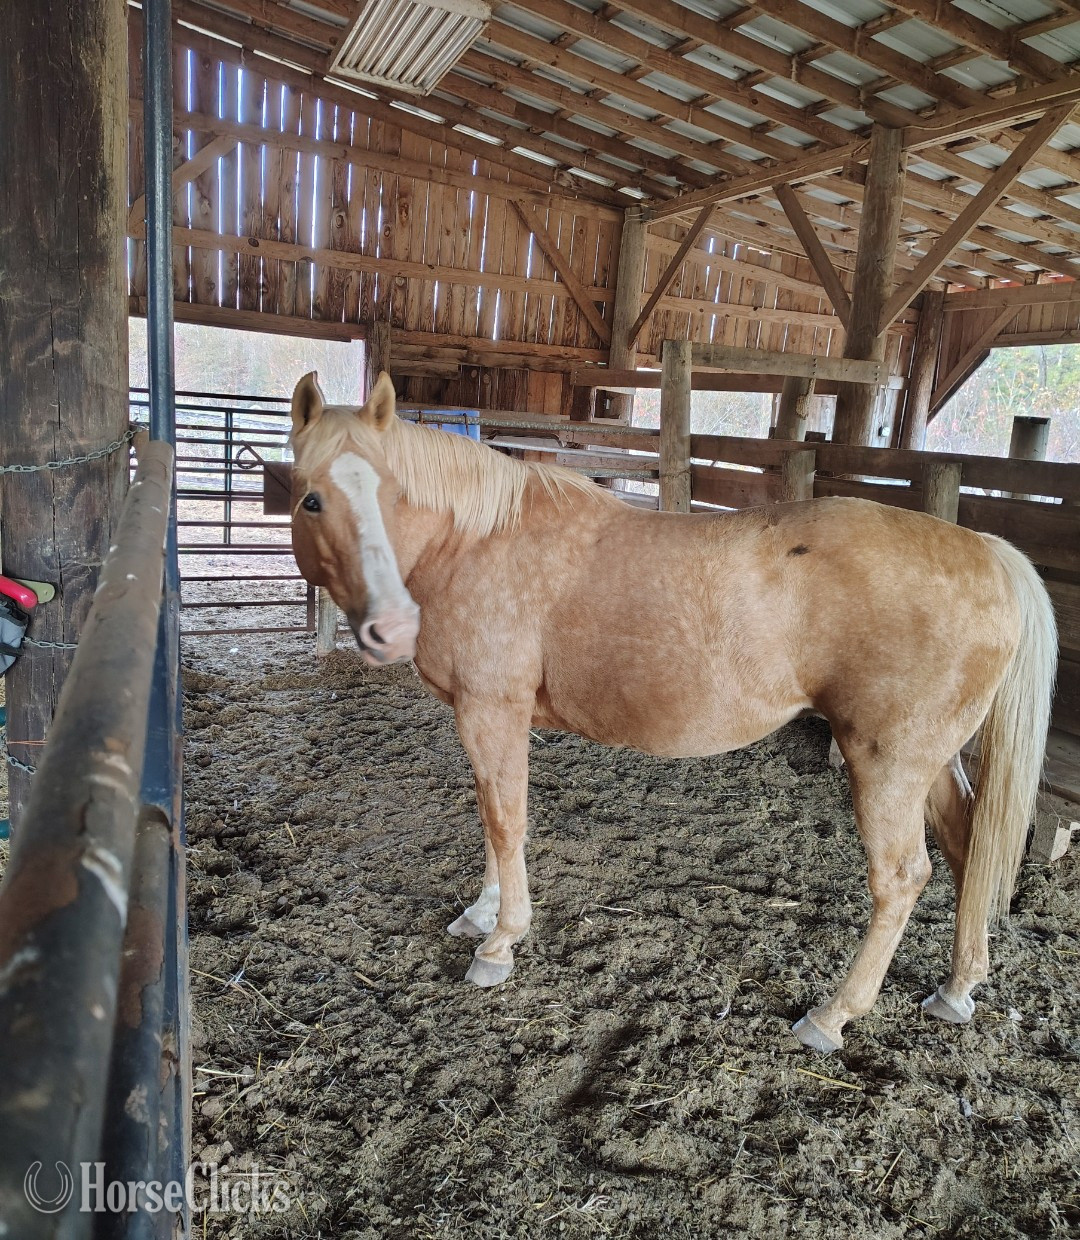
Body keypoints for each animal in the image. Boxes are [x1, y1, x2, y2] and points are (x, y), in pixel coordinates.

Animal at [288, 370, 1056, 1053]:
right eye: (311, 498)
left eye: (388, 491)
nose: (387, 629)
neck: (475, 541)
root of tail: (987, 553)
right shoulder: (482, 718)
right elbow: (489, 817)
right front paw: (481, 915)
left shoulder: (491, 711)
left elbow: (506, 823)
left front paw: (501, 942)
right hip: (932, 762)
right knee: (968, 849)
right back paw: (958, 988)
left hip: (887, 765)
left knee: (901, 880)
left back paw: (832, 1015)